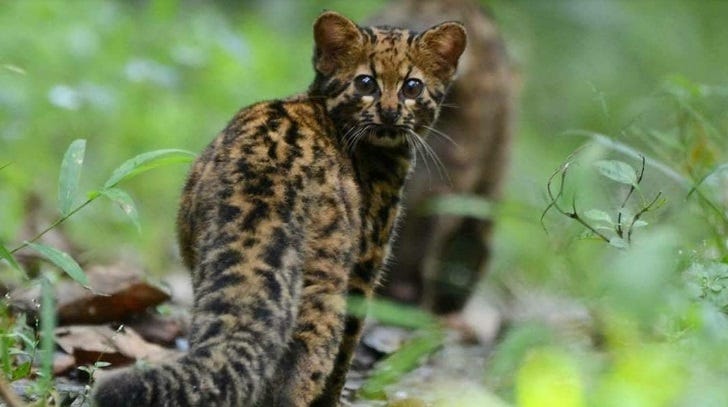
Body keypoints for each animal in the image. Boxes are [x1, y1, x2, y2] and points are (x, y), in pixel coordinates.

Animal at [91, 9, 466, 407]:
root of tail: (264, 172)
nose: (391, 112)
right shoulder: (366, 264)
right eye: (366, 83)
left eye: (413, 87)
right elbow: (345, 354)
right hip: (325, 280)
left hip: (205, 259)